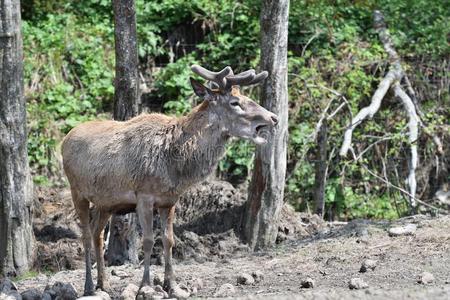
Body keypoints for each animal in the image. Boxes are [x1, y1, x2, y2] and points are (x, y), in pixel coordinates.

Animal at [60, 65, 278, 298]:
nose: (273, 117)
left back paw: (104, 283)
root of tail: (64, 140)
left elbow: (168, 239)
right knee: (85, 235)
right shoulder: (144, 195)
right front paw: (145, 285)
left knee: (97, 233)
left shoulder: (169, 200)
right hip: (77, 191)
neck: (176, 164)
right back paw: (89, 286)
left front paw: (172, 285)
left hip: (106, 202)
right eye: (235, 102)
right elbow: (147, 240)